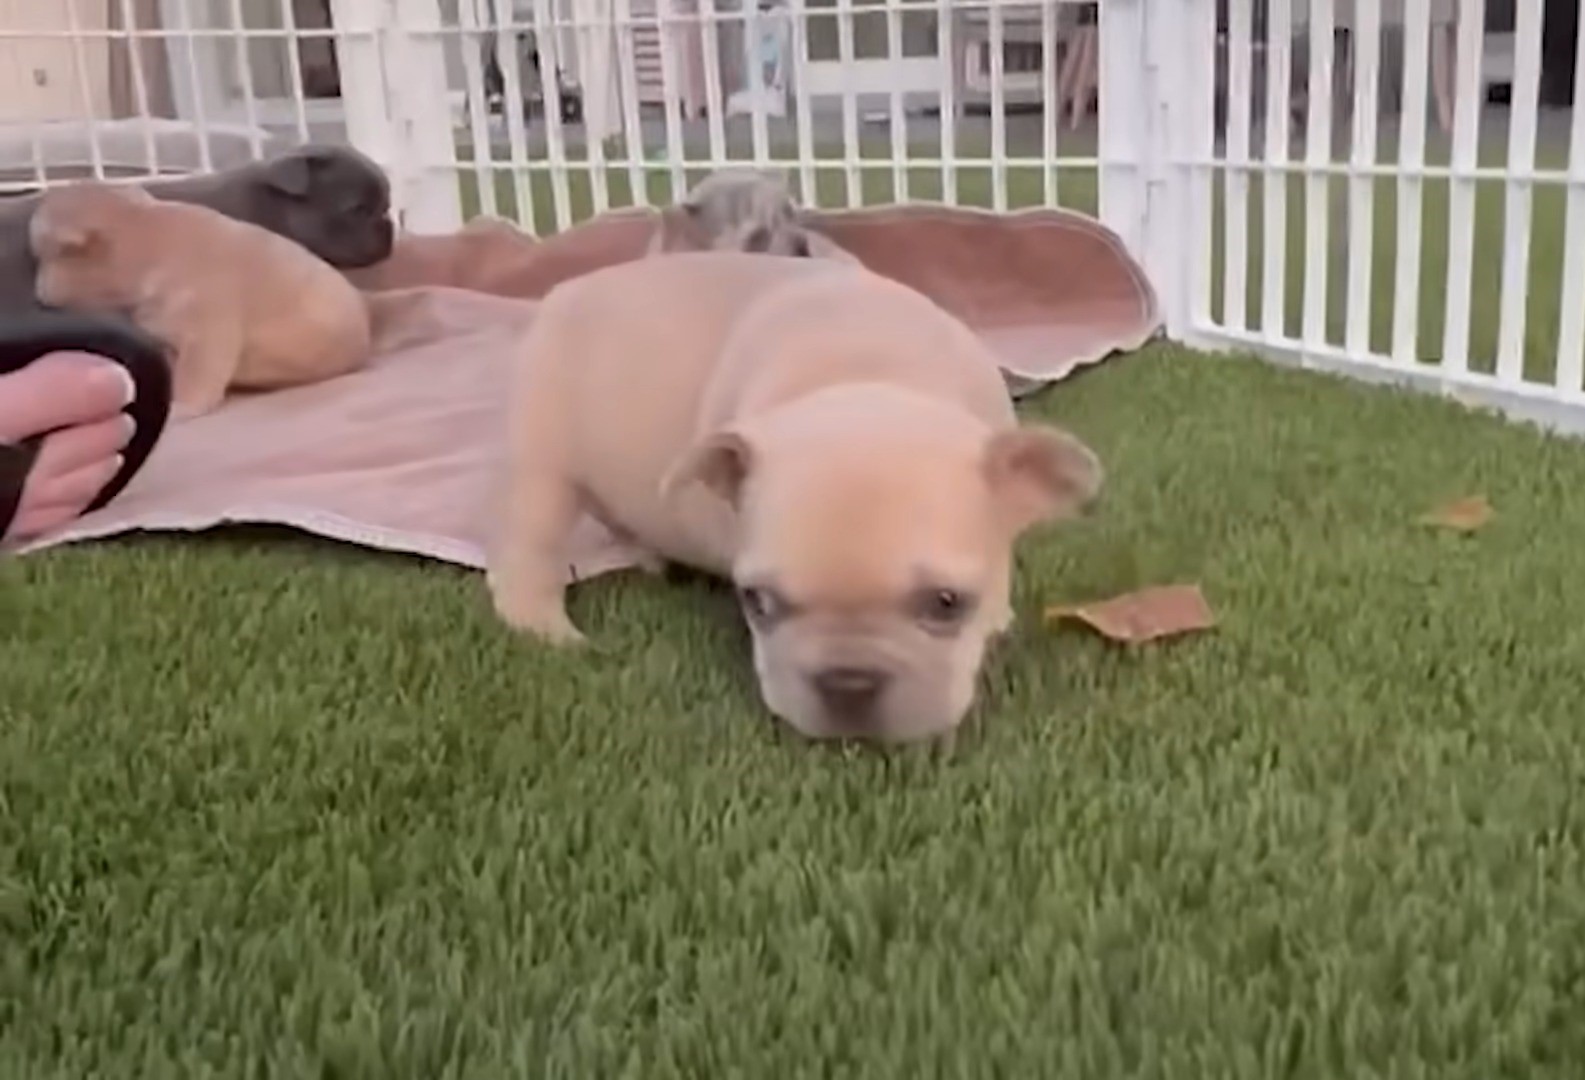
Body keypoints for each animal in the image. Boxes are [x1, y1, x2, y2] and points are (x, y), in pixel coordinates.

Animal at [30, 180, 370, 415]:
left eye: (48, 256)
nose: (39, 289)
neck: (143, 234)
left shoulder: (207, 327)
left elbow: (196, 373)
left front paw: (181, 406)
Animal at [491, 252, 1103, 742]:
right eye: (758, 603)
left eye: (946, 603)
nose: (848, 681)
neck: (867, 373)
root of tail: (566, 289)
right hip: (542, 465)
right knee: (531, 546)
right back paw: (546, 625)